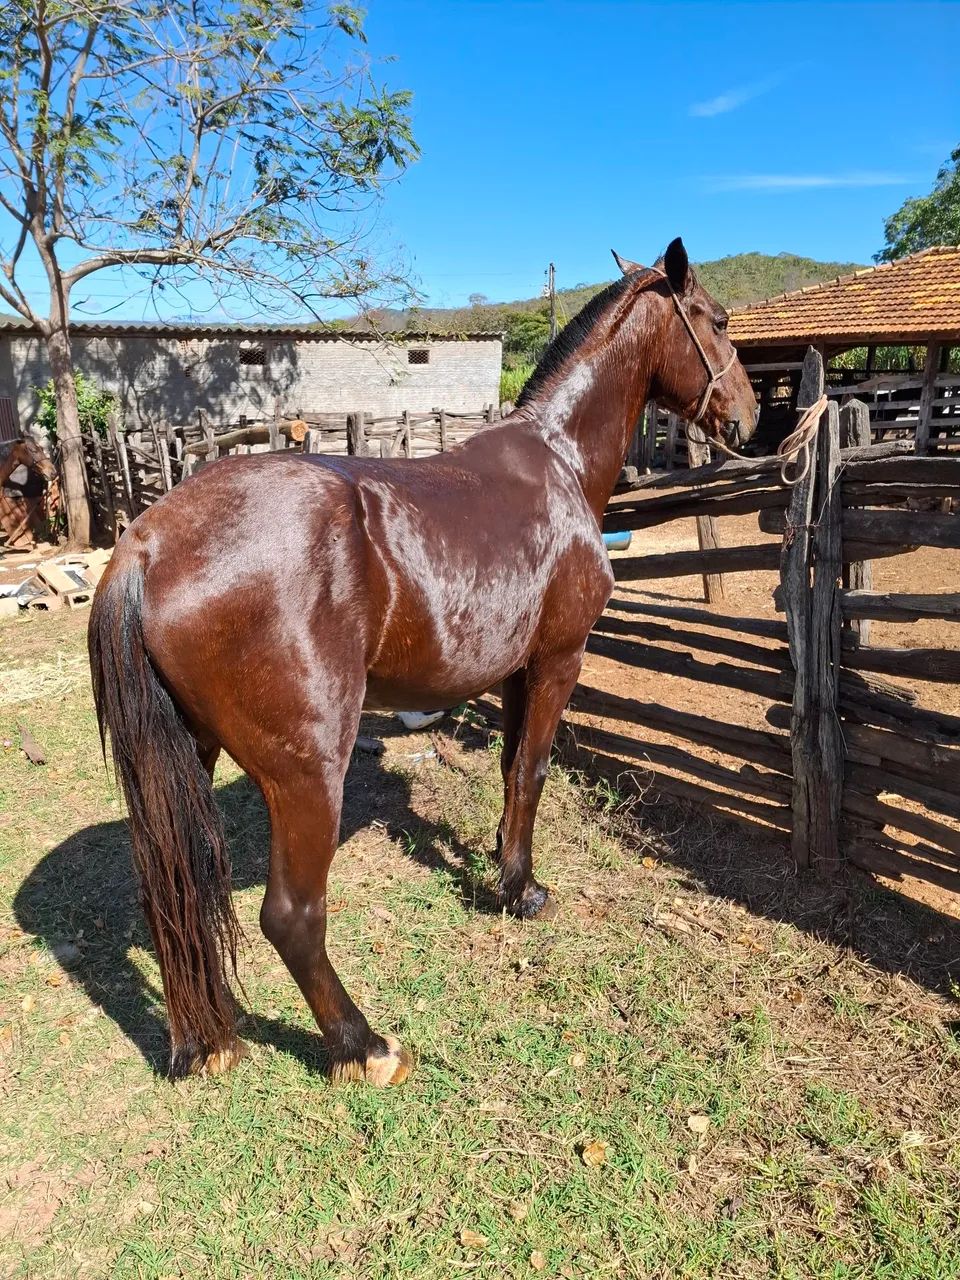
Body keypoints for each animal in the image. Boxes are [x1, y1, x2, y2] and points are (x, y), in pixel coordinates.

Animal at [89, 237, 758, 1085]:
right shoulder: (558, 661)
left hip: (188, 754)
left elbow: (509, 768)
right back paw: (363, 1045)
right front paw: (522, 891)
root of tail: (145, 545)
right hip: (308, 774)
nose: (749, 415)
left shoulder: (518, 671)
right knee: (290, 916)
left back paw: (201, 1045)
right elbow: (533, 771)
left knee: (170, 897)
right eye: (718, 319)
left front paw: (503, 870)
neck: (559, 462)